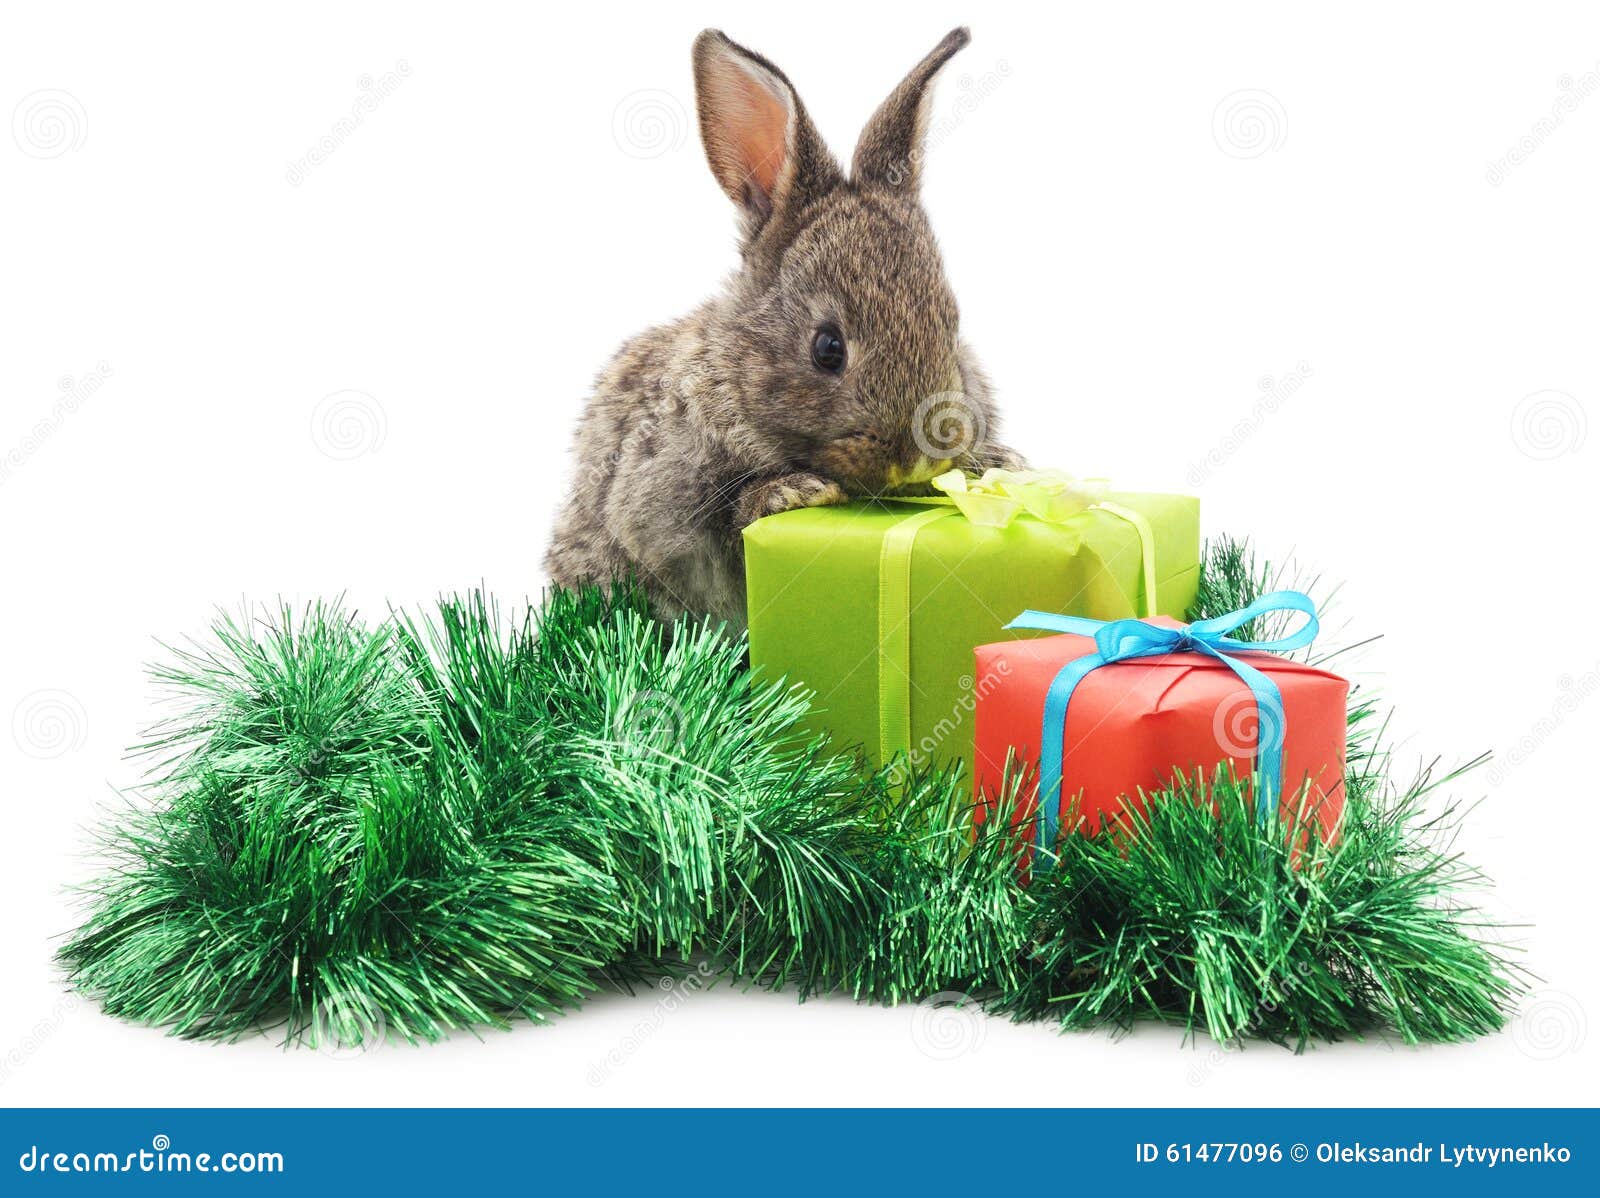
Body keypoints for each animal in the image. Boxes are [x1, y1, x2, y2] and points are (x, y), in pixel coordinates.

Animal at [544, 27, 1022, 628]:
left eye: (952, 326)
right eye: (827, 348)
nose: (921, 454)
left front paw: (996, 465)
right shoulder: (659, 511)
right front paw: (792, 494)